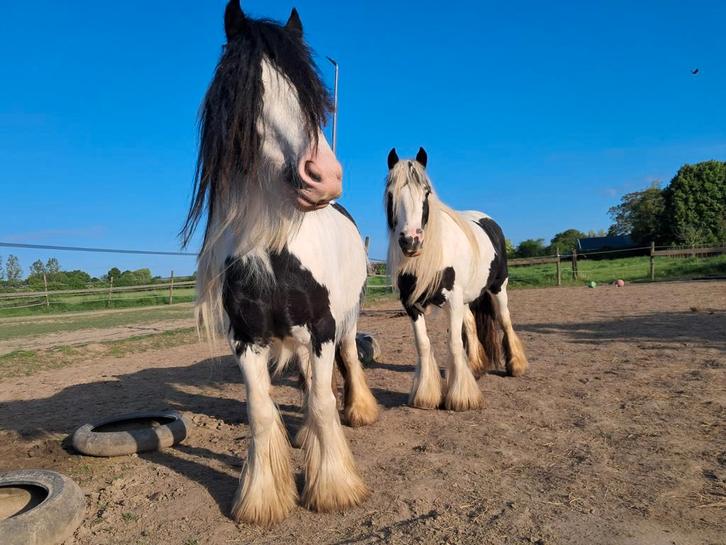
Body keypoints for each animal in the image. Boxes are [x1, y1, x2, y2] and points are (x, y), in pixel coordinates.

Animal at [181, 1, 379, 526]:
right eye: (251, 88)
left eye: (313, 95)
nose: (324, 176)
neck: (274, 249)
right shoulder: (246, 337)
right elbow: (261, 409)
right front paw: (262, 497)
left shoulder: (324, 327)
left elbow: (322, 400)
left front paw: (333, 487)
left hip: (346, 318)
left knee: (344, 364)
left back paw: (357, 412)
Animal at [384, 147, 528, 411]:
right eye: (391, 194)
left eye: (426, 192)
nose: (411, 241)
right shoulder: (411, 305)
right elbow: (424, 344)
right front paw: (425, 396)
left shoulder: (452, 299)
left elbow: (453, 343)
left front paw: (461, 398)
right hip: (465, 299)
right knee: (470, 324)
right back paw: (475, 367)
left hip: (498, 287)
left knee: (504, 320)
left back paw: (515, 366)